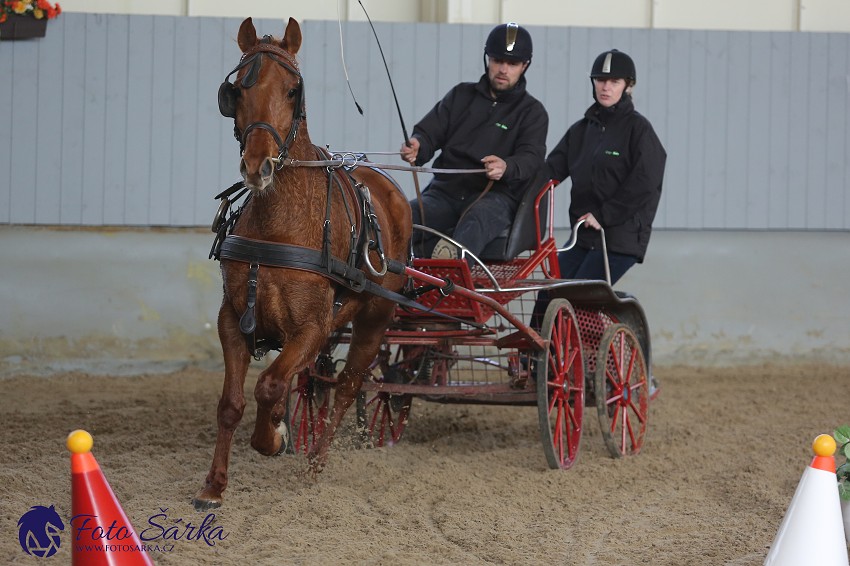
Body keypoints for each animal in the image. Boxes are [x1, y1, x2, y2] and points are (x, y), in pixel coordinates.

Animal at [193, 18, 410, 516]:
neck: (279, 223)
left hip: (375, 318)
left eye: (293, 90)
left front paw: (272, 437)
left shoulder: (312, 326)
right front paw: (213, 485)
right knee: (315, 380)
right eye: (236, 89)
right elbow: (232, 402)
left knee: (347, 387)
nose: (257, 166)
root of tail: (387, 187)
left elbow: (270, 384)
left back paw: (315, 463)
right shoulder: (232, 318)